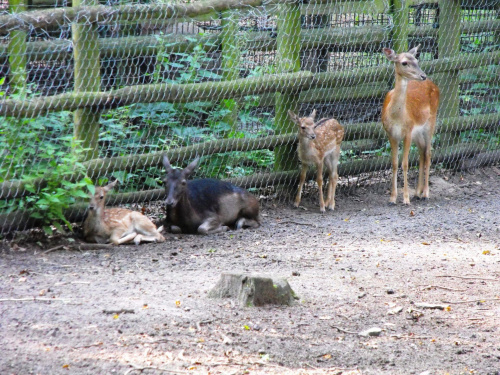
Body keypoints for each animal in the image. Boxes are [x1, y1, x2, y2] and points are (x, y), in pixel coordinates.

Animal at [380, 46, 440, 207]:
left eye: (417, 60)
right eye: (404, 62)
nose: (423, 75)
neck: (397, 117)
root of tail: (434, 85)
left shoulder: (407, 131)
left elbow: (405, 164)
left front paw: (405, 199)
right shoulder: (391, 134)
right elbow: (395, 164)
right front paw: (392, 198)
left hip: (431, 122)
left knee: (428, 153)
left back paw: (425, 194)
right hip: (417, 133)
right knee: (422, 152)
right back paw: (417, 192)